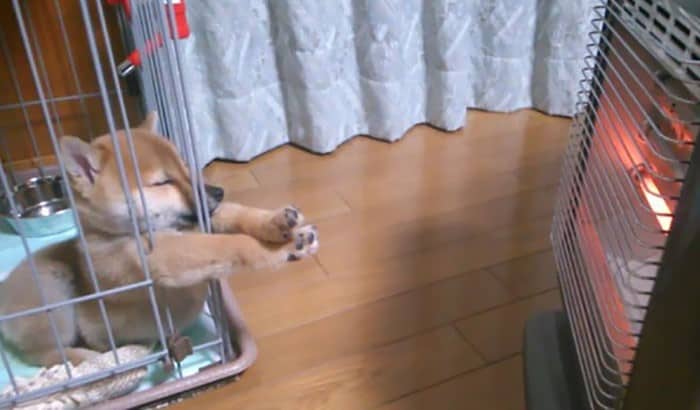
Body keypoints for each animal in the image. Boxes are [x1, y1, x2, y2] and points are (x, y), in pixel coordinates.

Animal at [0, 111, 318, 366]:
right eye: (164, 182)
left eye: (185, 167)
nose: (217, 192)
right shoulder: (163, 255)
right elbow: (229, 245)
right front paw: (282, 248)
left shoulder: (201, 220)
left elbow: (237, 214)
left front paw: (281, 224)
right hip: (52, 291)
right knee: (47, 355)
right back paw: (94, 359)